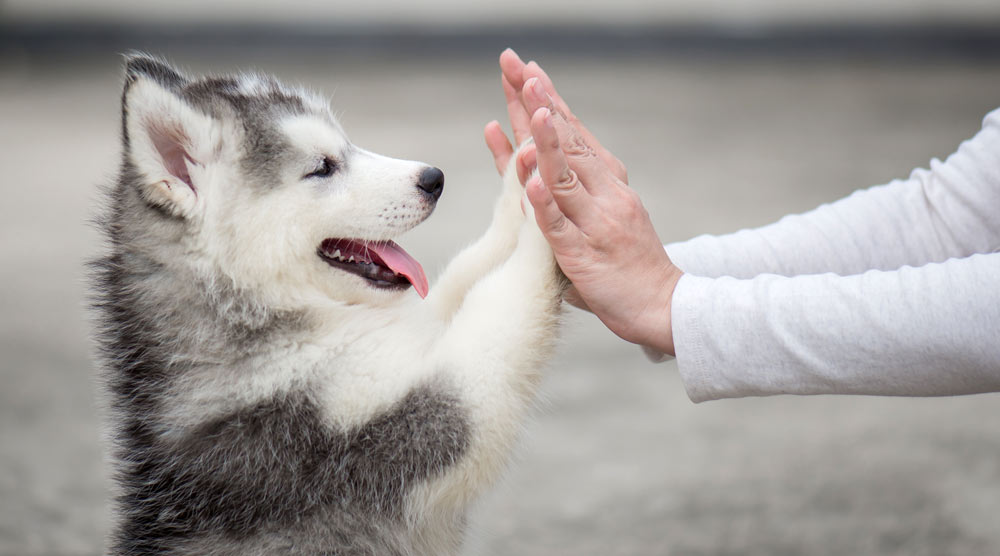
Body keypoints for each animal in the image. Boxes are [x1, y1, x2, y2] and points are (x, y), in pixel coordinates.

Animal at [94, 56, 572, 556]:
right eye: (323, 167)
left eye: (347, 145)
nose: (434, 179)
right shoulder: (390, 430)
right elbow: (499, 304)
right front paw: (548, 215)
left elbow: (464, 274)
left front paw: (523, 180)